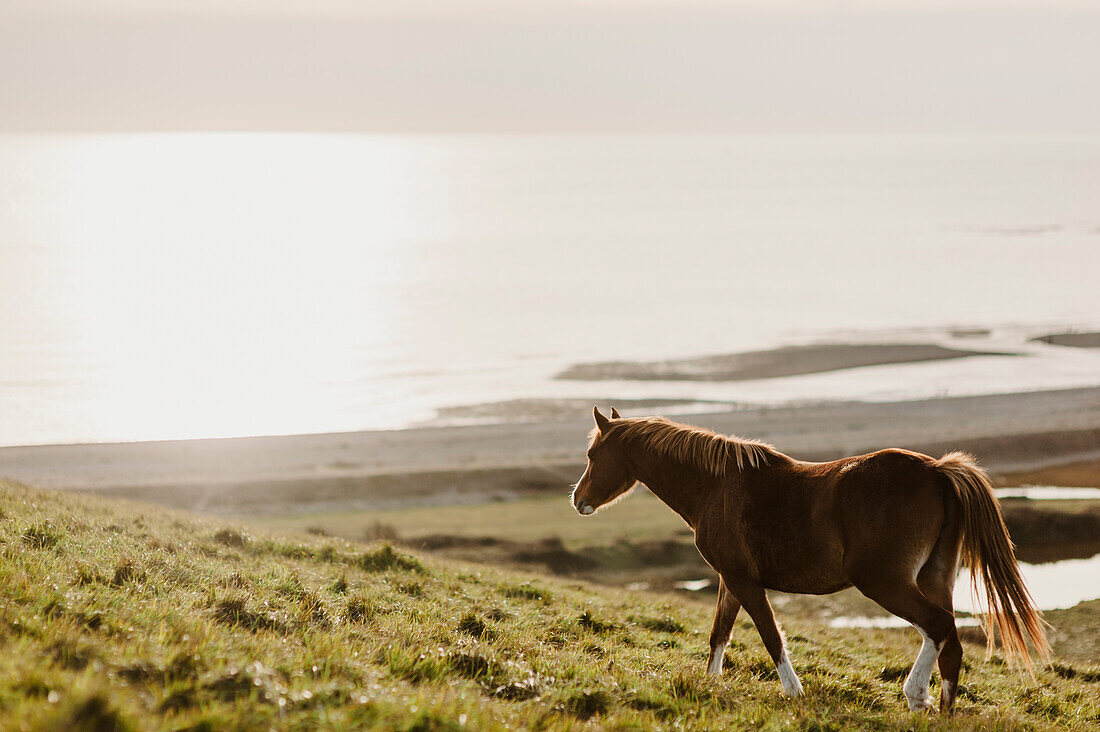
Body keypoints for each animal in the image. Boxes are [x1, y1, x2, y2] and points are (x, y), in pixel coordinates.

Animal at [572, 405, 1051, 708]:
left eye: (593, 454)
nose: (578, 500)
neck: (716, 486)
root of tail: (936, 471)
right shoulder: (730, 579)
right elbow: (719, 635)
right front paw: (711, 685)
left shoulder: (744, 581)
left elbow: (770, 636)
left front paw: (793, 692)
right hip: (933, 577)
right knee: (948, 640)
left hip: (884, 582)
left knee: (937, 626)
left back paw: (915, 696)